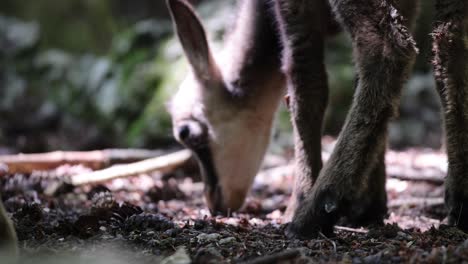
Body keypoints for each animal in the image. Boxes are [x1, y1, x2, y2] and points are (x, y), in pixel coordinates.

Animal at [166, 0, 466, 237]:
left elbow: (305, 84)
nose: (213, 202)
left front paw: (298, 202)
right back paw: (459, 202)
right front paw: (369, 207)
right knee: (449, 44)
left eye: (187, 134)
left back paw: (314, 211)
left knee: (386, 46)